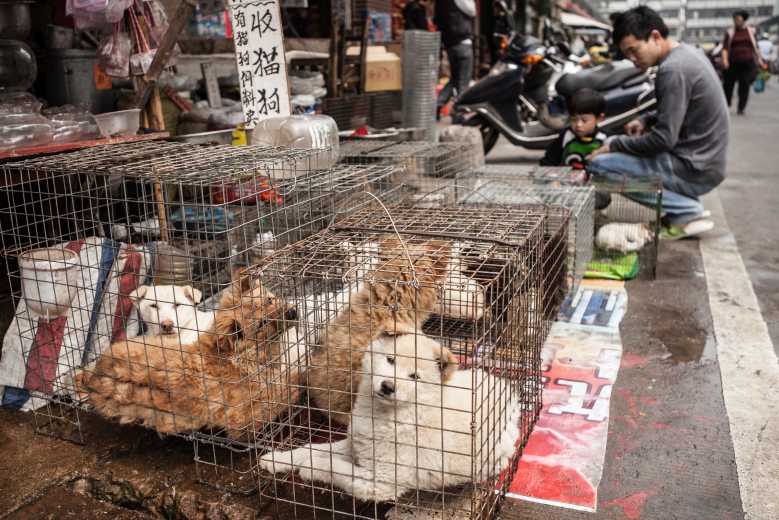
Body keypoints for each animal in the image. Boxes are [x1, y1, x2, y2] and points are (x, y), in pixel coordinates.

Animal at [258, 334, 520, 504]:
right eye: (390, 359)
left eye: (414, 376)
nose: (387, 386)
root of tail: (511, 397)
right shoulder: (355, 445)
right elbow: (309, 448)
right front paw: (276, 460)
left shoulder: (381, 483)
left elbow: (332, 466)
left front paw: (309, 468)